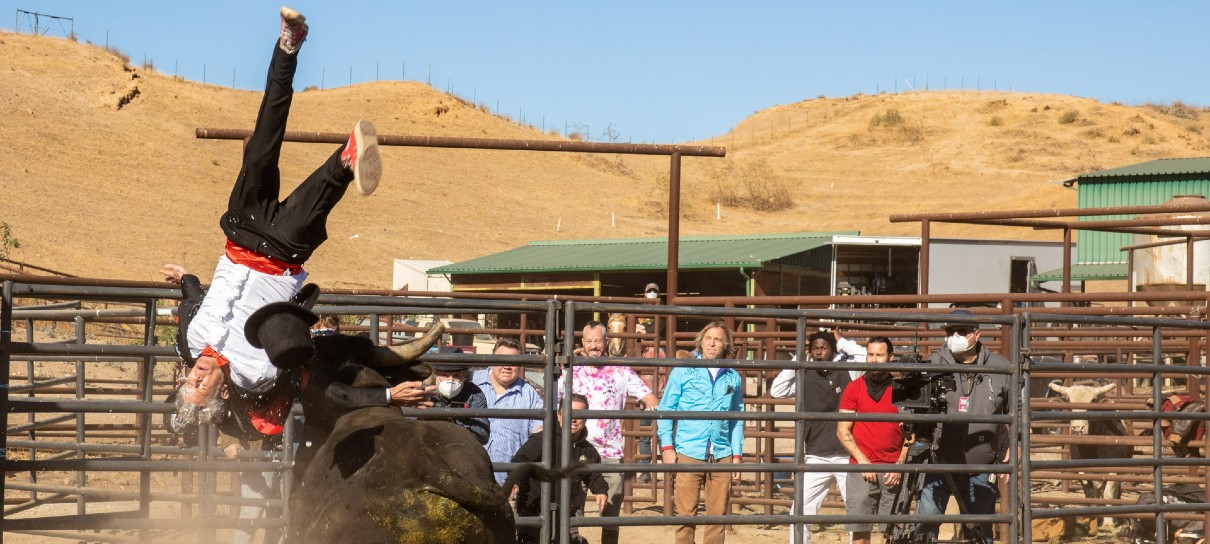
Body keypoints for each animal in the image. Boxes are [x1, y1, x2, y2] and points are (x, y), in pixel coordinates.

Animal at [1045, 382, 1137, 527]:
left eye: (1093, 401)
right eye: (1069, 402)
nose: (1077, 429)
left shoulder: (1114, 469)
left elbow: (1108, 494)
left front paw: (1108, 522)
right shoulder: (1082, 471)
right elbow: (1089, 495)